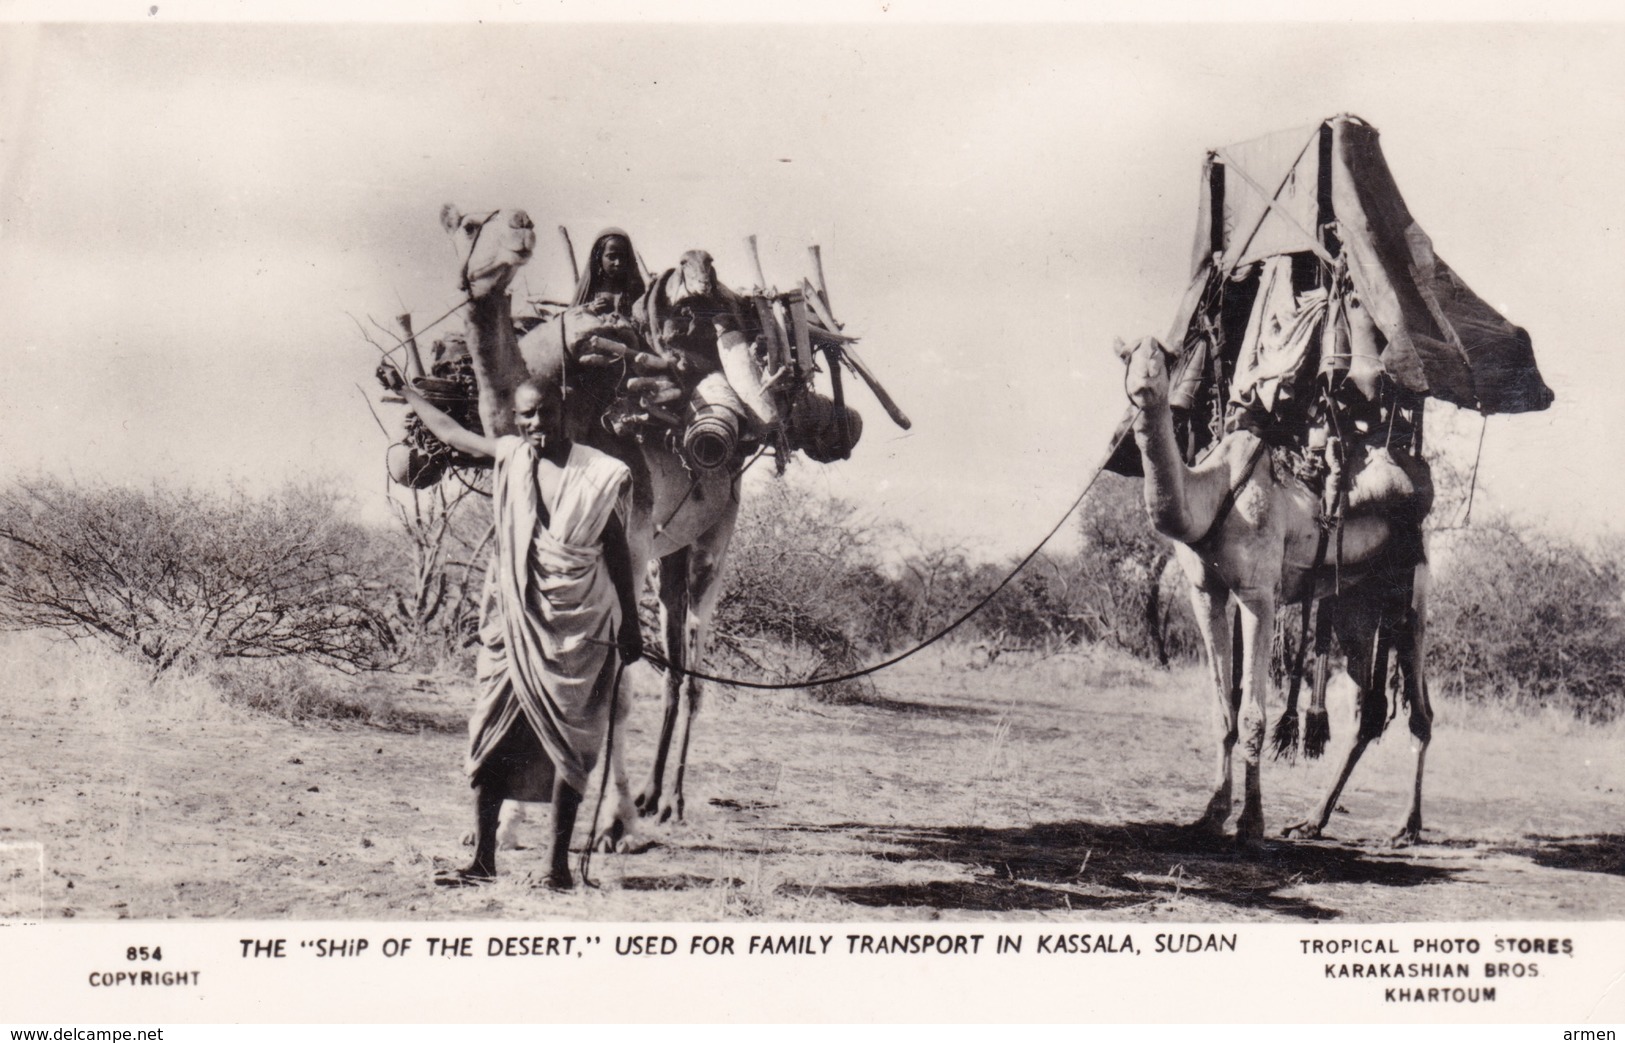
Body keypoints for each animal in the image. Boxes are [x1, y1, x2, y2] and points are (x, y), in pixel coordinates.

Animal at [442, 201, 776, 844]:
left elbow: (617, 687)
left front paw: (612, 826)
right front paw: (502, 823)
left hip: (712, 539)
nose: (521, 224)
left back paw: (670, 801)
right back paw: (651, 795)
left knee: (694, 661)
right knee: (673, 657)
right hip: (670, 556)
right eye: (469, 226)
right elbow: (522, 653)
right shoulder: (515, 538)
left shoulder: (631, 537)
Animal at [1118, 333, 1436, 844]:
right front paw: (1210, 814)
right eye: (1127, 359)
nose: (1144, 386)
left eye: (1164, 360)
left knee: (1420, 713)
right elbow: (1223, 711)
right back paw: (1312, 820)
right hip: (1355, 608)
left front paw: (1250, 823)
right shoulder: (1206, 591)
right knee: (1368, 709)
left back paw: (1406, 826)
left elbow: (1252, 714)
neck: (1213, 493)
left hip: (1411, 597)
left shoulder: (1258, 592)